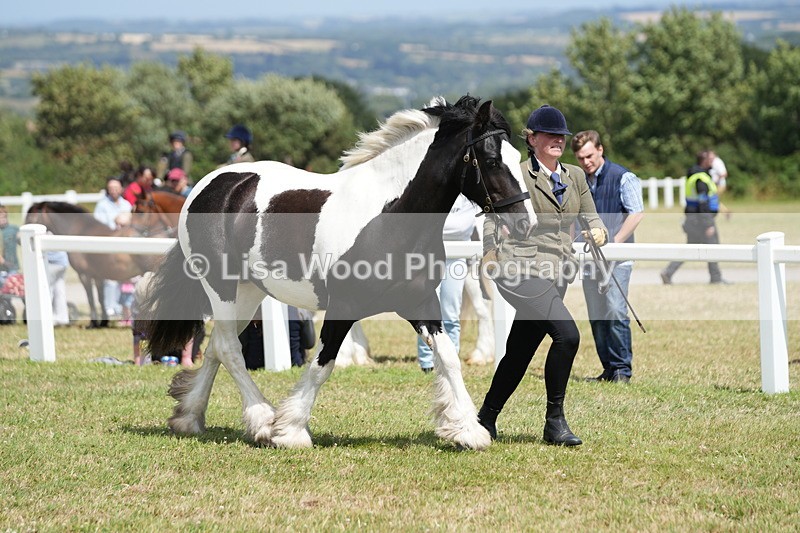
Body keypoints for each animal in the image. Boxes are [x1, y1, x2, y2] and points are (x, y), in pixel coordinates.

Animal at [25, 201, 166, 327]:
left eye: (30, 217)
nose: (20, 240)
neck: (79, 231)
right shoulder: (98, 277)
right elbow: (100, 299)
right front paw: (103, 322)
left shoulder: (84, 275)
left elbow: (91, 299)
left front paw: (93, 323)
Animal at [138, 95, 536, 450]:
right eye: (491, 160)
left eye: (518, 158)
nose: (525, 224)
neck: (390, 216)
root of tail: (213, 184)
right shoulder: (344, 306)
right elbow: (322, 364)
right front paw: (291, 431)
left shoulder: (420, 303)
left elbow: (449, 359)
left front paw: (467, 430)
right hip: (220, 286)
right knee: (229, 348)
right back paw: (263, 421)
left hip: (248, 292)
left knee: (217, 347)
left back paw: (189, 417)